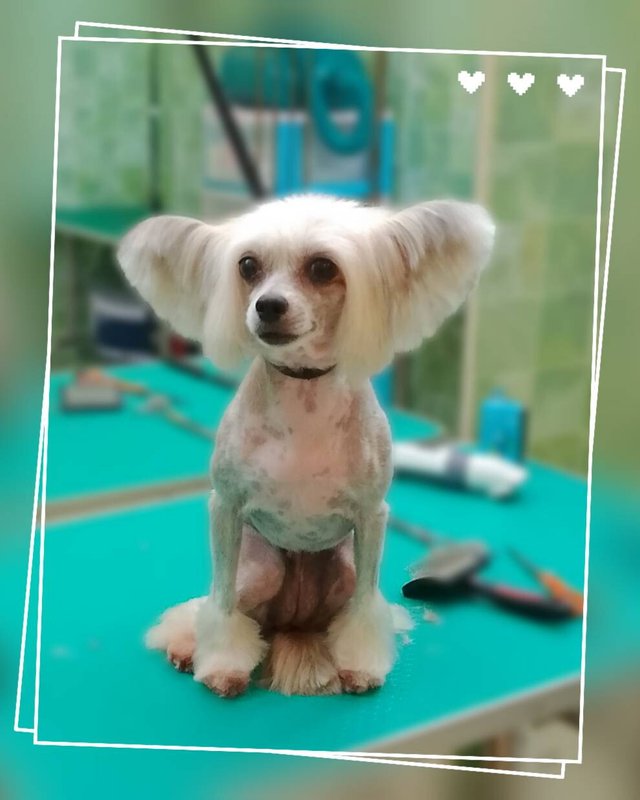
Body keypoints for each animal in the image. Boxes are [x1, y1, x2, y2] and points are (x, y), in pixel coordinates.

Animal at [117, 194, 494, 697]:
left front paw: (361, 665)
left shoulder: (371, 516)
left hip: (343, 572)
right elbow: (220, 604)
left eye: (321, 267)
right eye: (247, 265)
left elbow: (365, 609)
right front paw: (221, 664)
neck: (304, 392)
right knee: (212, 607)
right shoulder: (225, 507)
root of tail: (292, 624)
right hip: (260, 569)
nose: (267, 306)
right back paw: (184, 646)